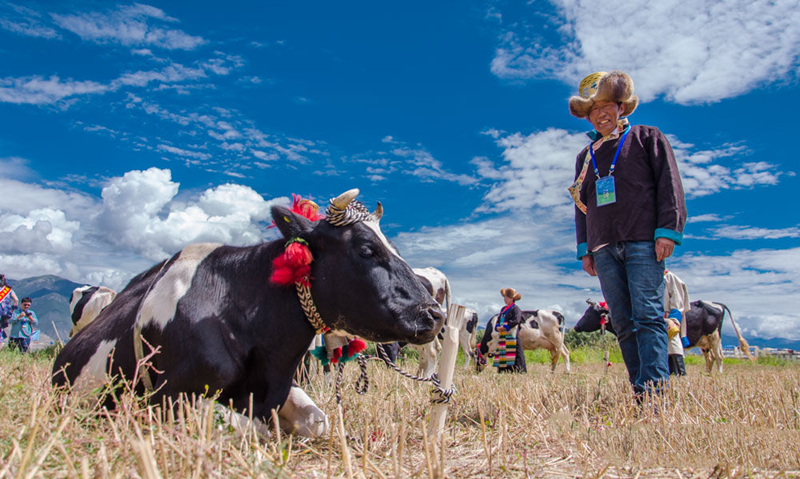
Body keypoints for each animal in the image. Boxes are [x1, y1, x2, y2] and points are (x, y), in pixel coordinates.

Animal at [576, 300, 752, 376]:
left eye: (589, 314)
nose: (576, 326)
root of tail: (718, 304)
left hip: (714, 336)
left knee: (720, 356)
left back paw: (719, 373)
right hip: (705, 342)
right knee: (711, 358)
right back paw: (708, 373)